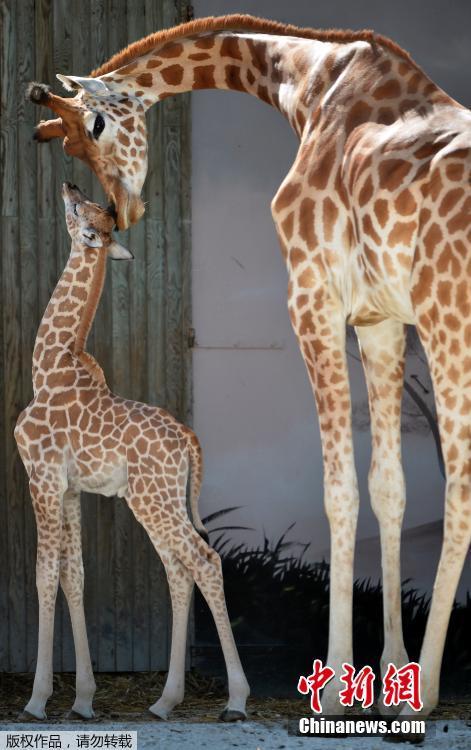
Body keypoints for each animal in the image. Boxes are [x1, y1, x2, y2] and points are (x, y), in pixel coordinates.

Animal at [14, 182, 249, 722]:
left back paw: (237, 699)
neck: (47, 367)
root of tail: (189, 441)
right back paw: (165, 701)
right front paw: (82, 699)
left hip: (151, 499)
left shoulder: (41, 477)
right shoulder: (70, 489)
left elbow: (43, 575)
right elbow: (74, 575)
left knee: (205, 561)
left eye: (81, 210)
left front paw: (37, 700)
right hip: (160, 499)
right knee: (179, 572)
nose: (70, 186)